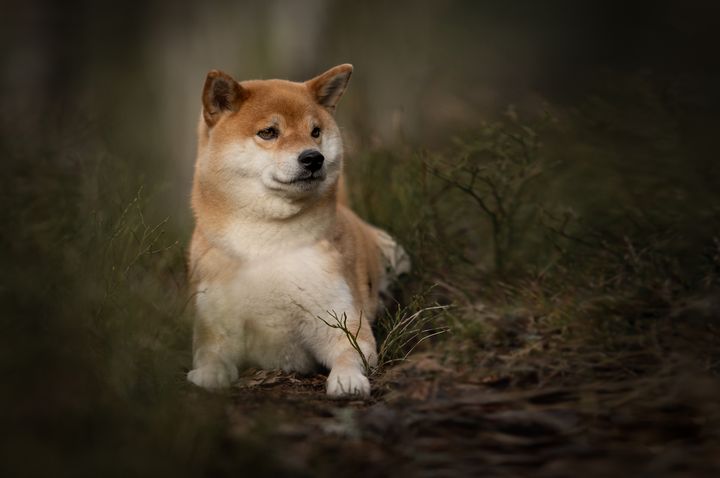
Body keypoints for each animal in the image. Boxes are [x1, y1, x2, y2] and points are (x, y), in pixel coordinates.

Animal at [187, 65, 410, 398]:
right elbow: (210, 356)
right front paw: (207, 376)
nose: (313, 157)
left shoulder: (343, 324)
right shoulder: (215, 328)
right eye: (268, 132)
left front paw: (347, 379)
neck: (266, 246)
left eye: (315, 131)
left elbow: (349, 354)